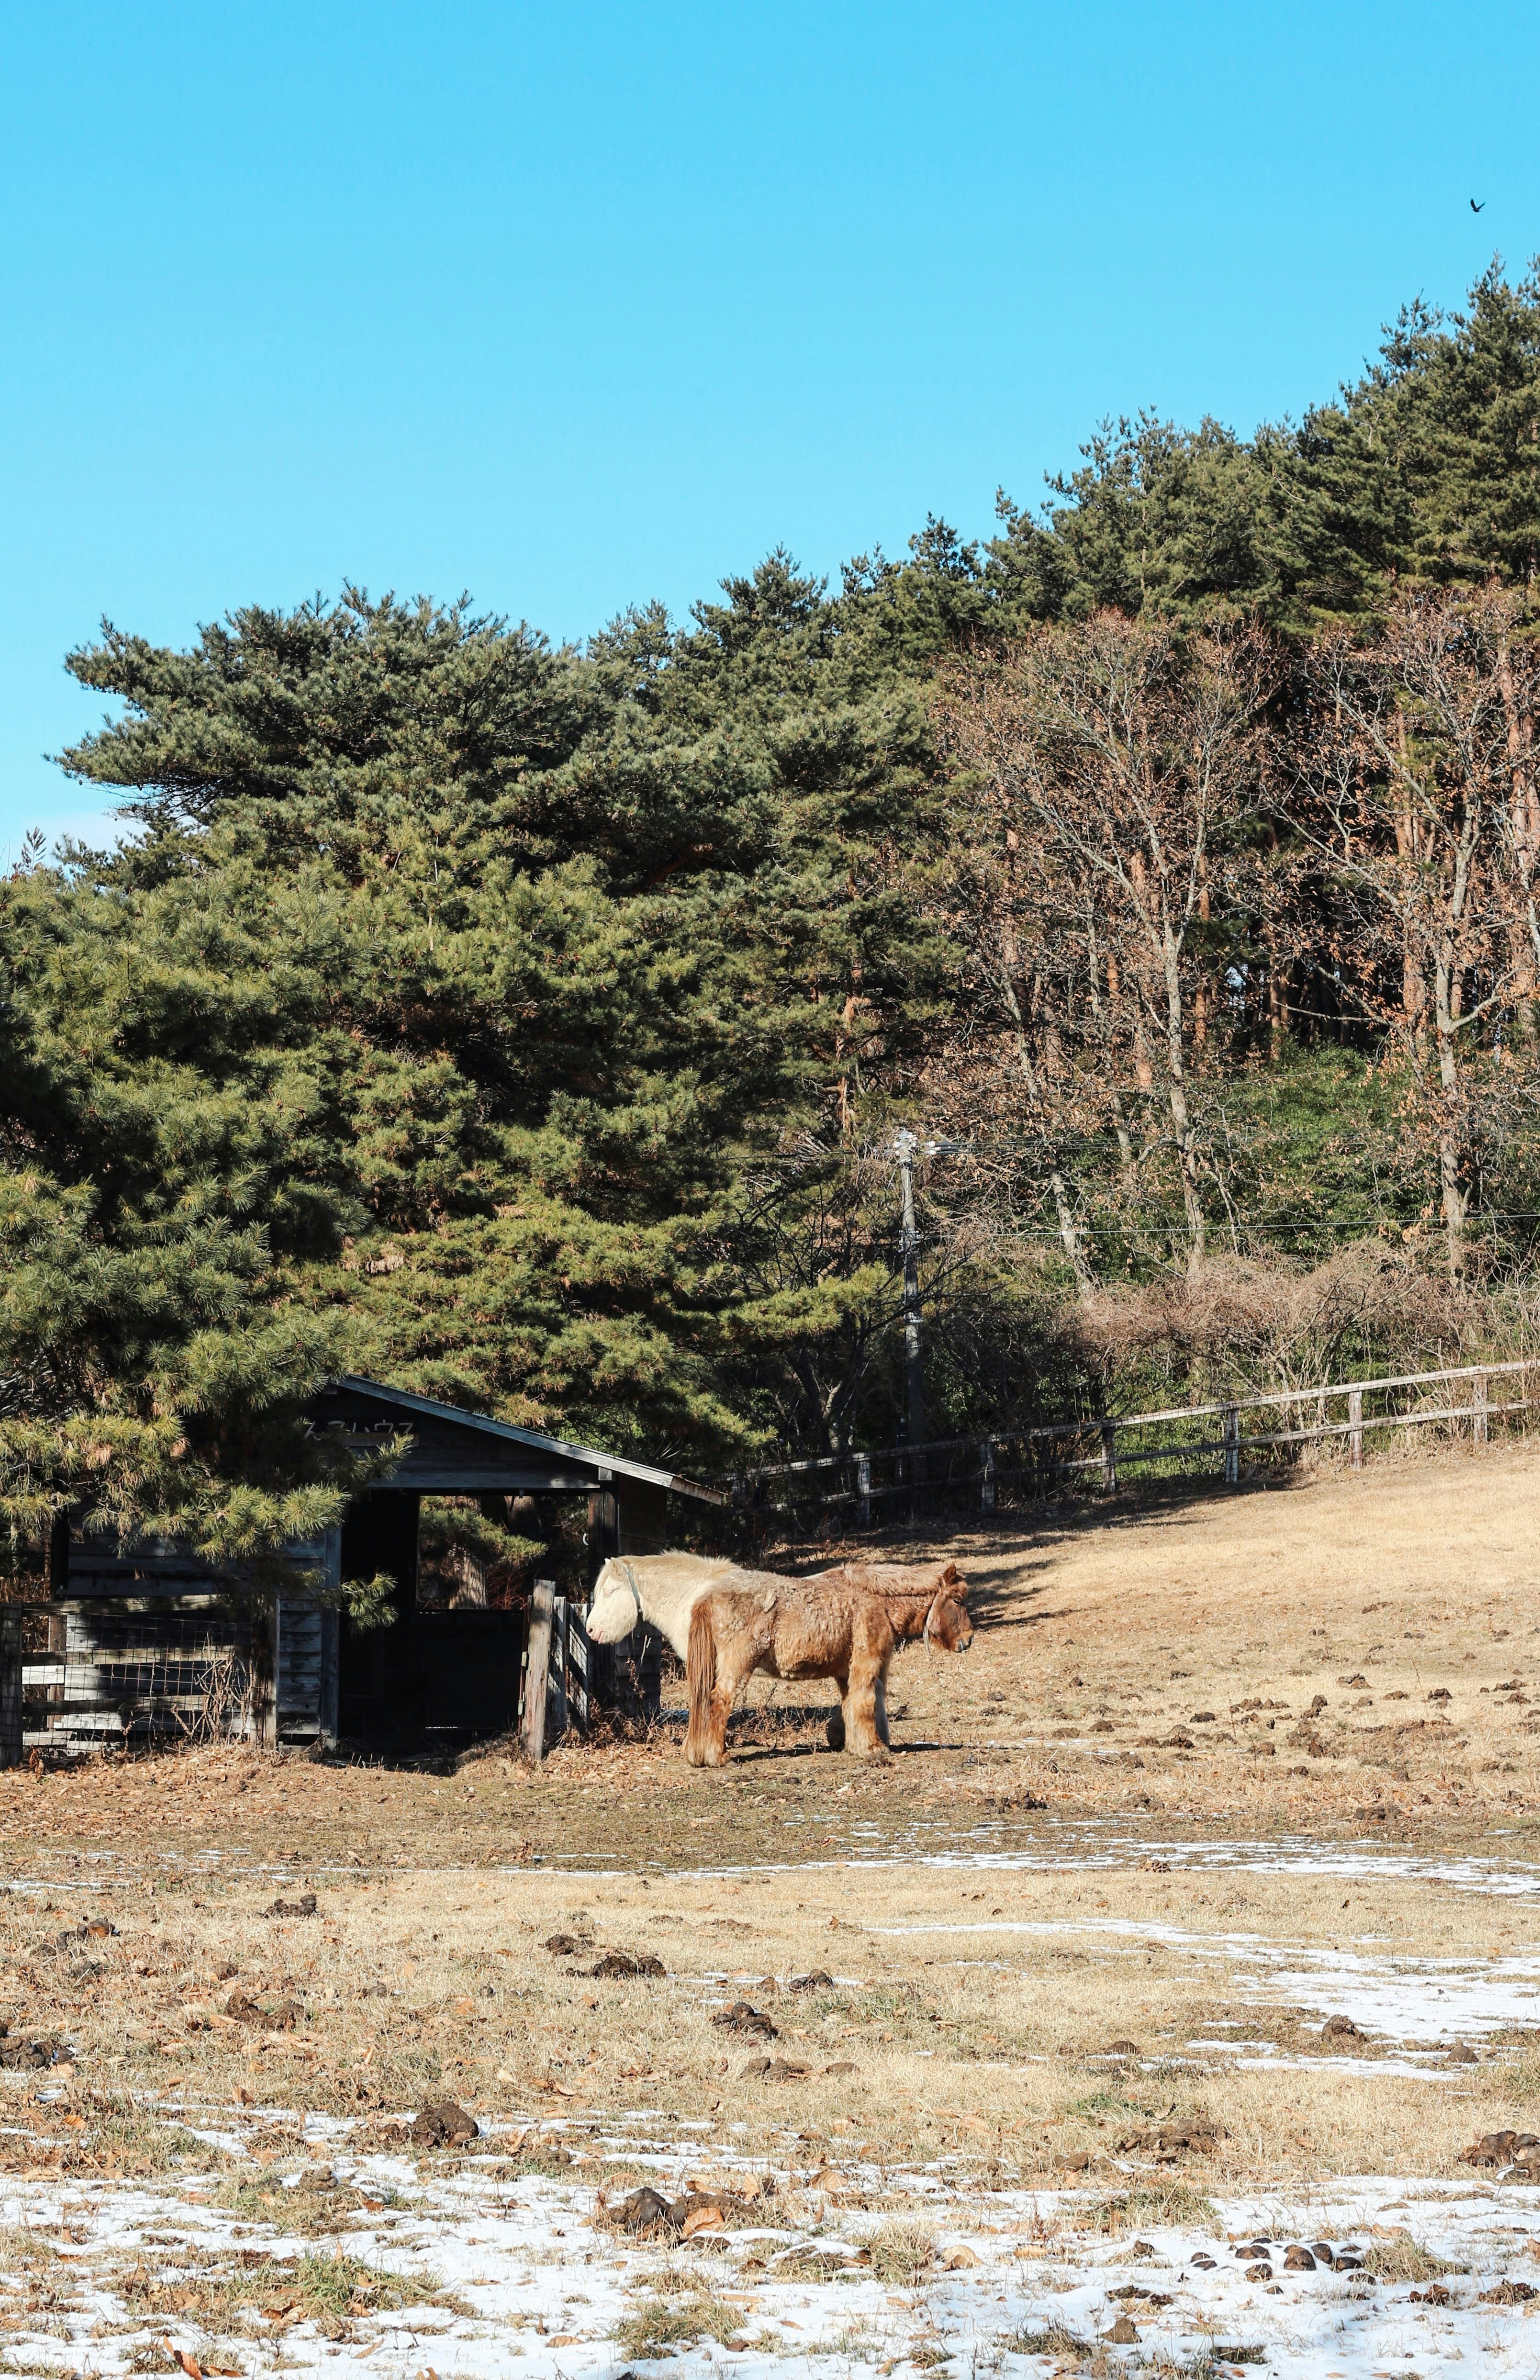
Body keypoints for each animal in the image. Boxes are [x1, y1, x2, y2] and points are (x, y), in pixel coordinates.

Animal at [684, 1562, 973, 1766]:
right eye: (957, 1600)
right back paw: (717, 1756)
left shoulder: (848, 1674)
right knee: (719, 1701)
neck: (876, 1601)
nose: (968, 1639)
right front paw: (873, 1749)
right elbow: (865, 1703)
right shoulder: (866, 1666)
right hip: (738, 1665)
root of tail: (709, 1597)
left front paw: (854, 1744)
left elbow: (851, 1705)